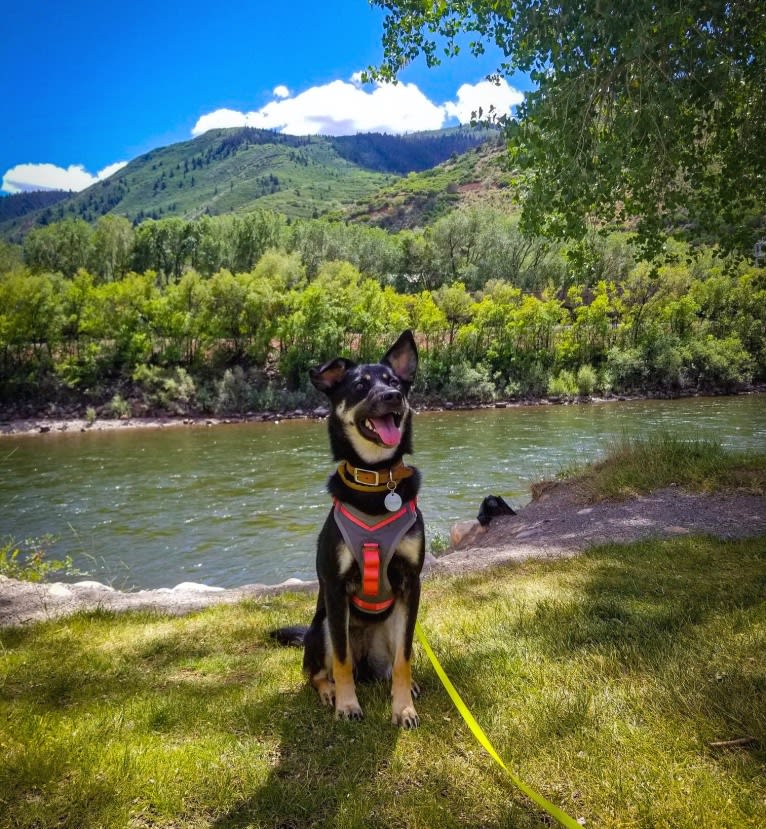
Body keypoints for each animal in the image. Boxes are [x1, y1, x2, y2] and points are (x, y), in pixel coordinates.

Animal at [272, 328, 426, 724]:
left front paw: (403, 707)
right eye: (359, 386)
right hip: (323, 627)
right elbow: (340, 662)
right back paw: (329, 691)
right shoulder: (336, 586)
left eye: (394, 382)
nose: (393, 397)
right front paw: (347, 704)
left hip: (391, 625)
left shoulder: (411, 583)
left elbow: (404, 659)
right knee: (316, 671)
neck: (377, 481)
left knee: (389, 665)